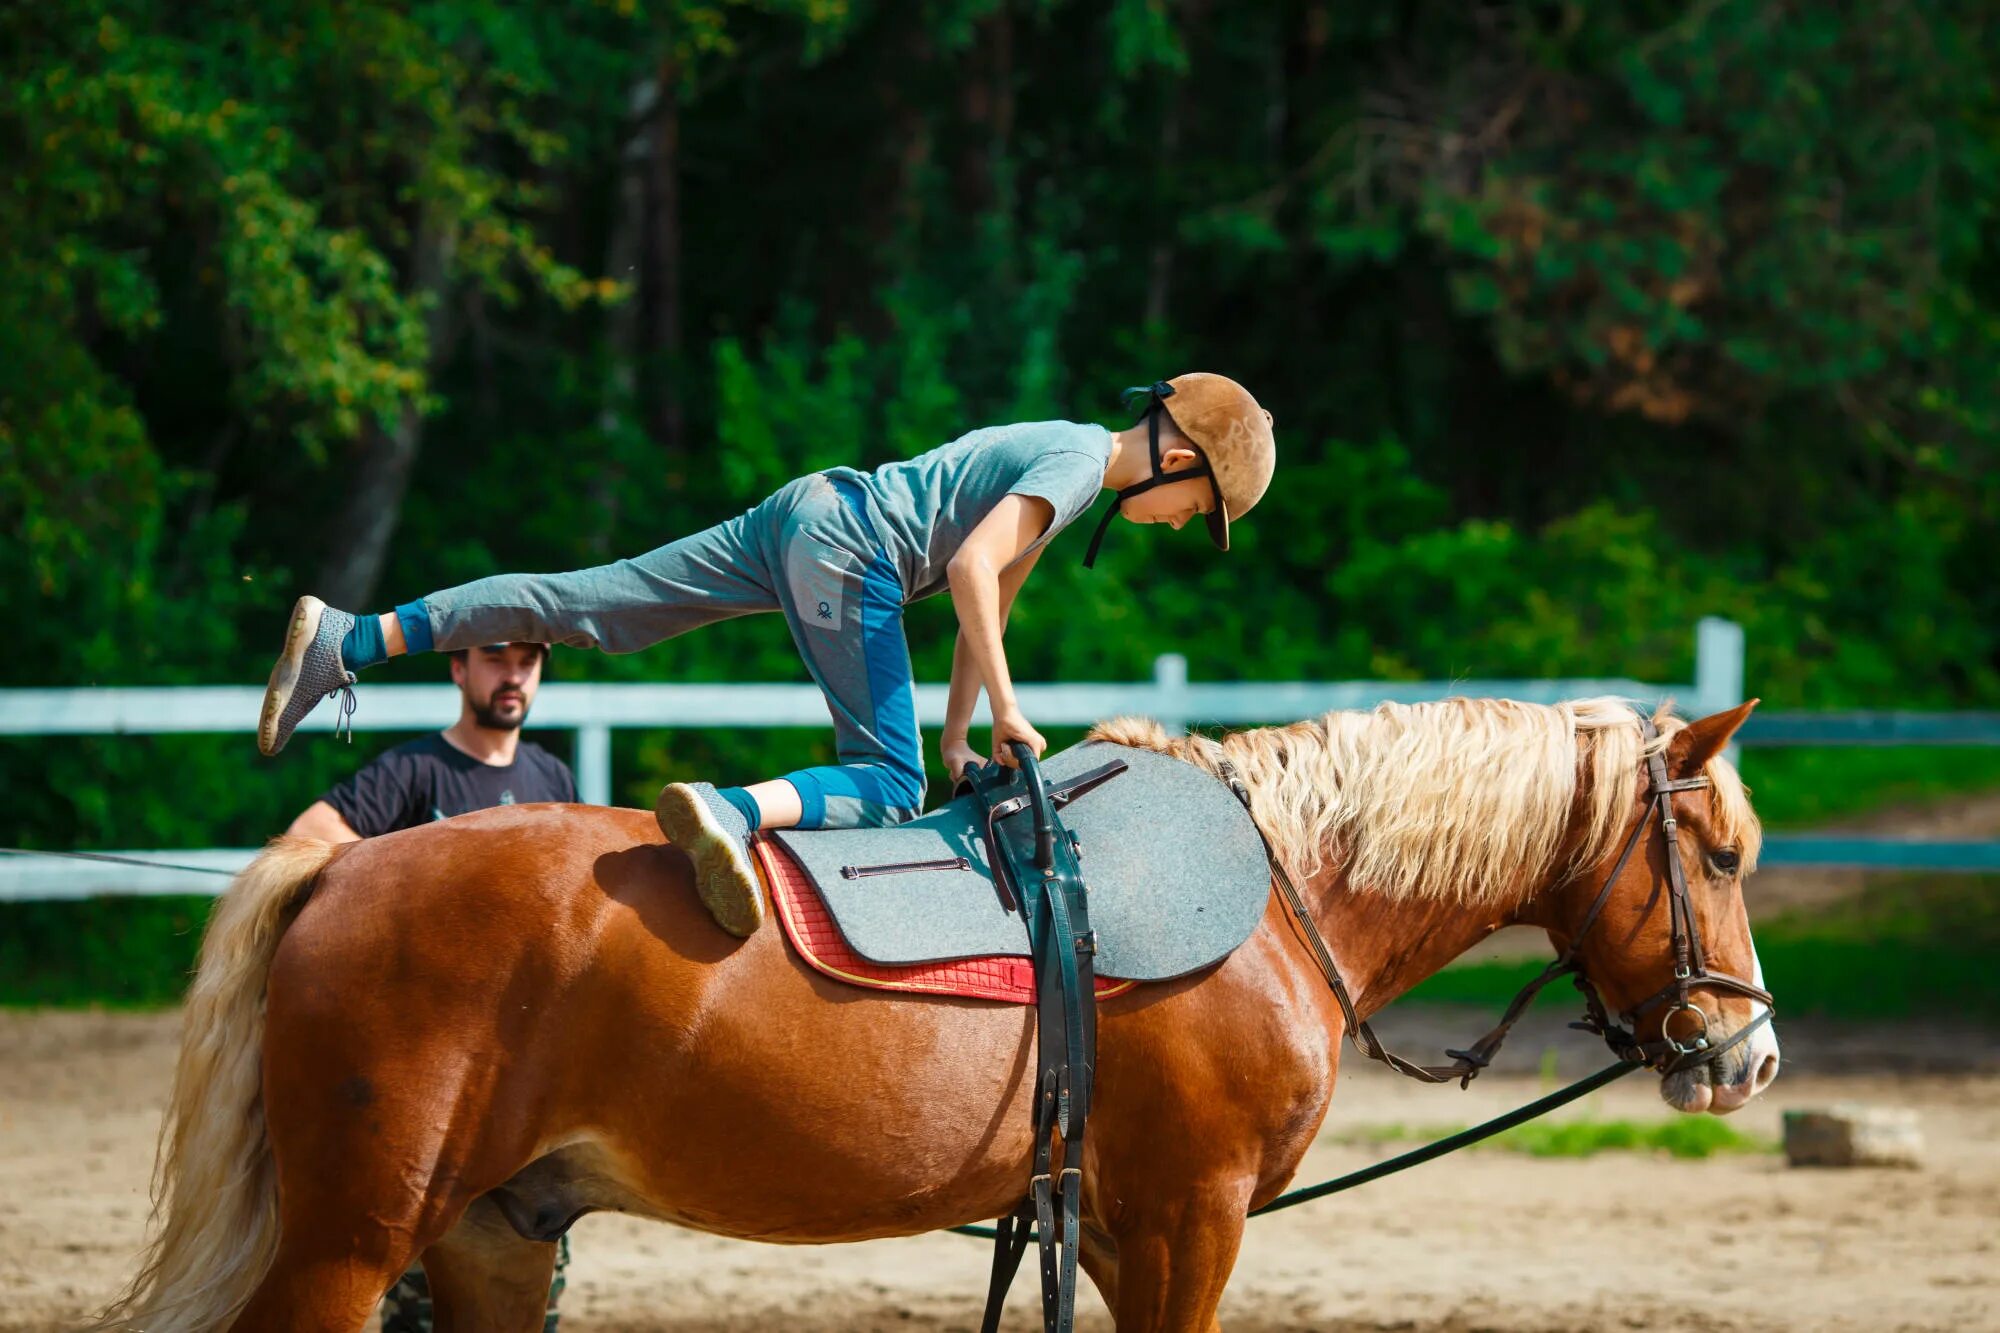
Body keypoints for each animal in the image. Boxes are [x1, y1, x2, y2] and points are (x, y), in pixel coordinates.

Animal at [97, 696, 1784, 1328]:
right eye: (1718, 853)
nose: (1748, 1052)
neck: (1280, 889)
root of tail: (347, 861)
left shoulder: (1103, 1225)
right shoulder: (1190, 1219)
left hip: (493, 1237)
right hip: (353, 1239)